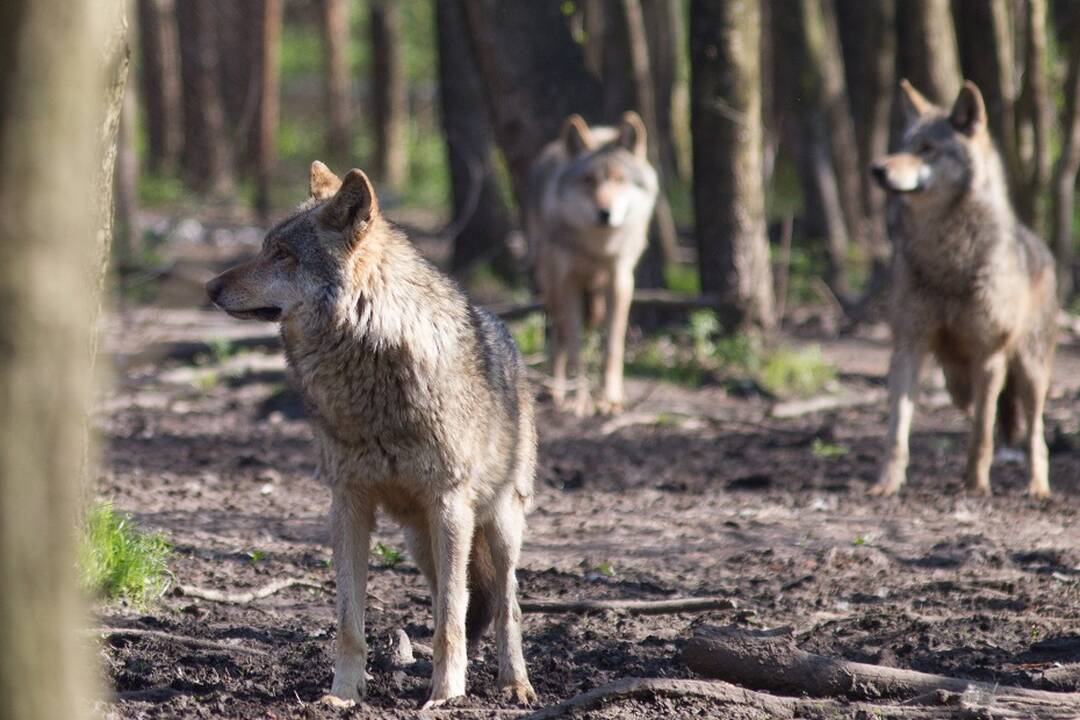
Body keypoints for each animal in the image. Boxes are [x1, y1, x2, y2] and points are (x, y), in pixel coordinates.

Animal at [204, 160, 537, 708]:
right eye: (264, 247)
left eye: (283, 254)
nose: (210, 287)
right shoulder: (347, 503)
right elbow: (350, 622)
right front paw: (343, 694)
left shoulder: (448, 503)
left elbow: (450, 623)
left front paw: (446, 696)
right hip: (422, 542)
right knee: (457, 599)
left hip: (495, 522)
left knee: (506, 606)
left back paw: (515, 685)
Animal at [524, 111, 656, 416]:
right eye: (588, 180)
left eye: (619, 180)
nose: (604, 213)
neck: (598, 247)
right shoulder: (567, 283)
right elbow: (575, 347)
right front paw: (580, 400)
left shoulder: (620, 281)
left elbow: (613, 347)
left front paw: (610, 399)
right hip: (551, 286)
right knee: (558, 335)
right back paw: (557, 391)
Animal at [868, 78, 1054, 496]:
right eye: (903, 145)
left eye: (927, 149)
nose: (877, 169)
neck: (947, 259)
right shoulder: (908, 347)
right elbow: (896, 430)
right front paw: (886, 485)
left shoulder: (989, 355)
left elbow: (982, 434)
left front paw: (977, 486)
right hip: (956, 378)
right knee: (980, 408)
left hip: (1030, 370)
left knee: (1034, 433)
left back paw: (1037, 487)